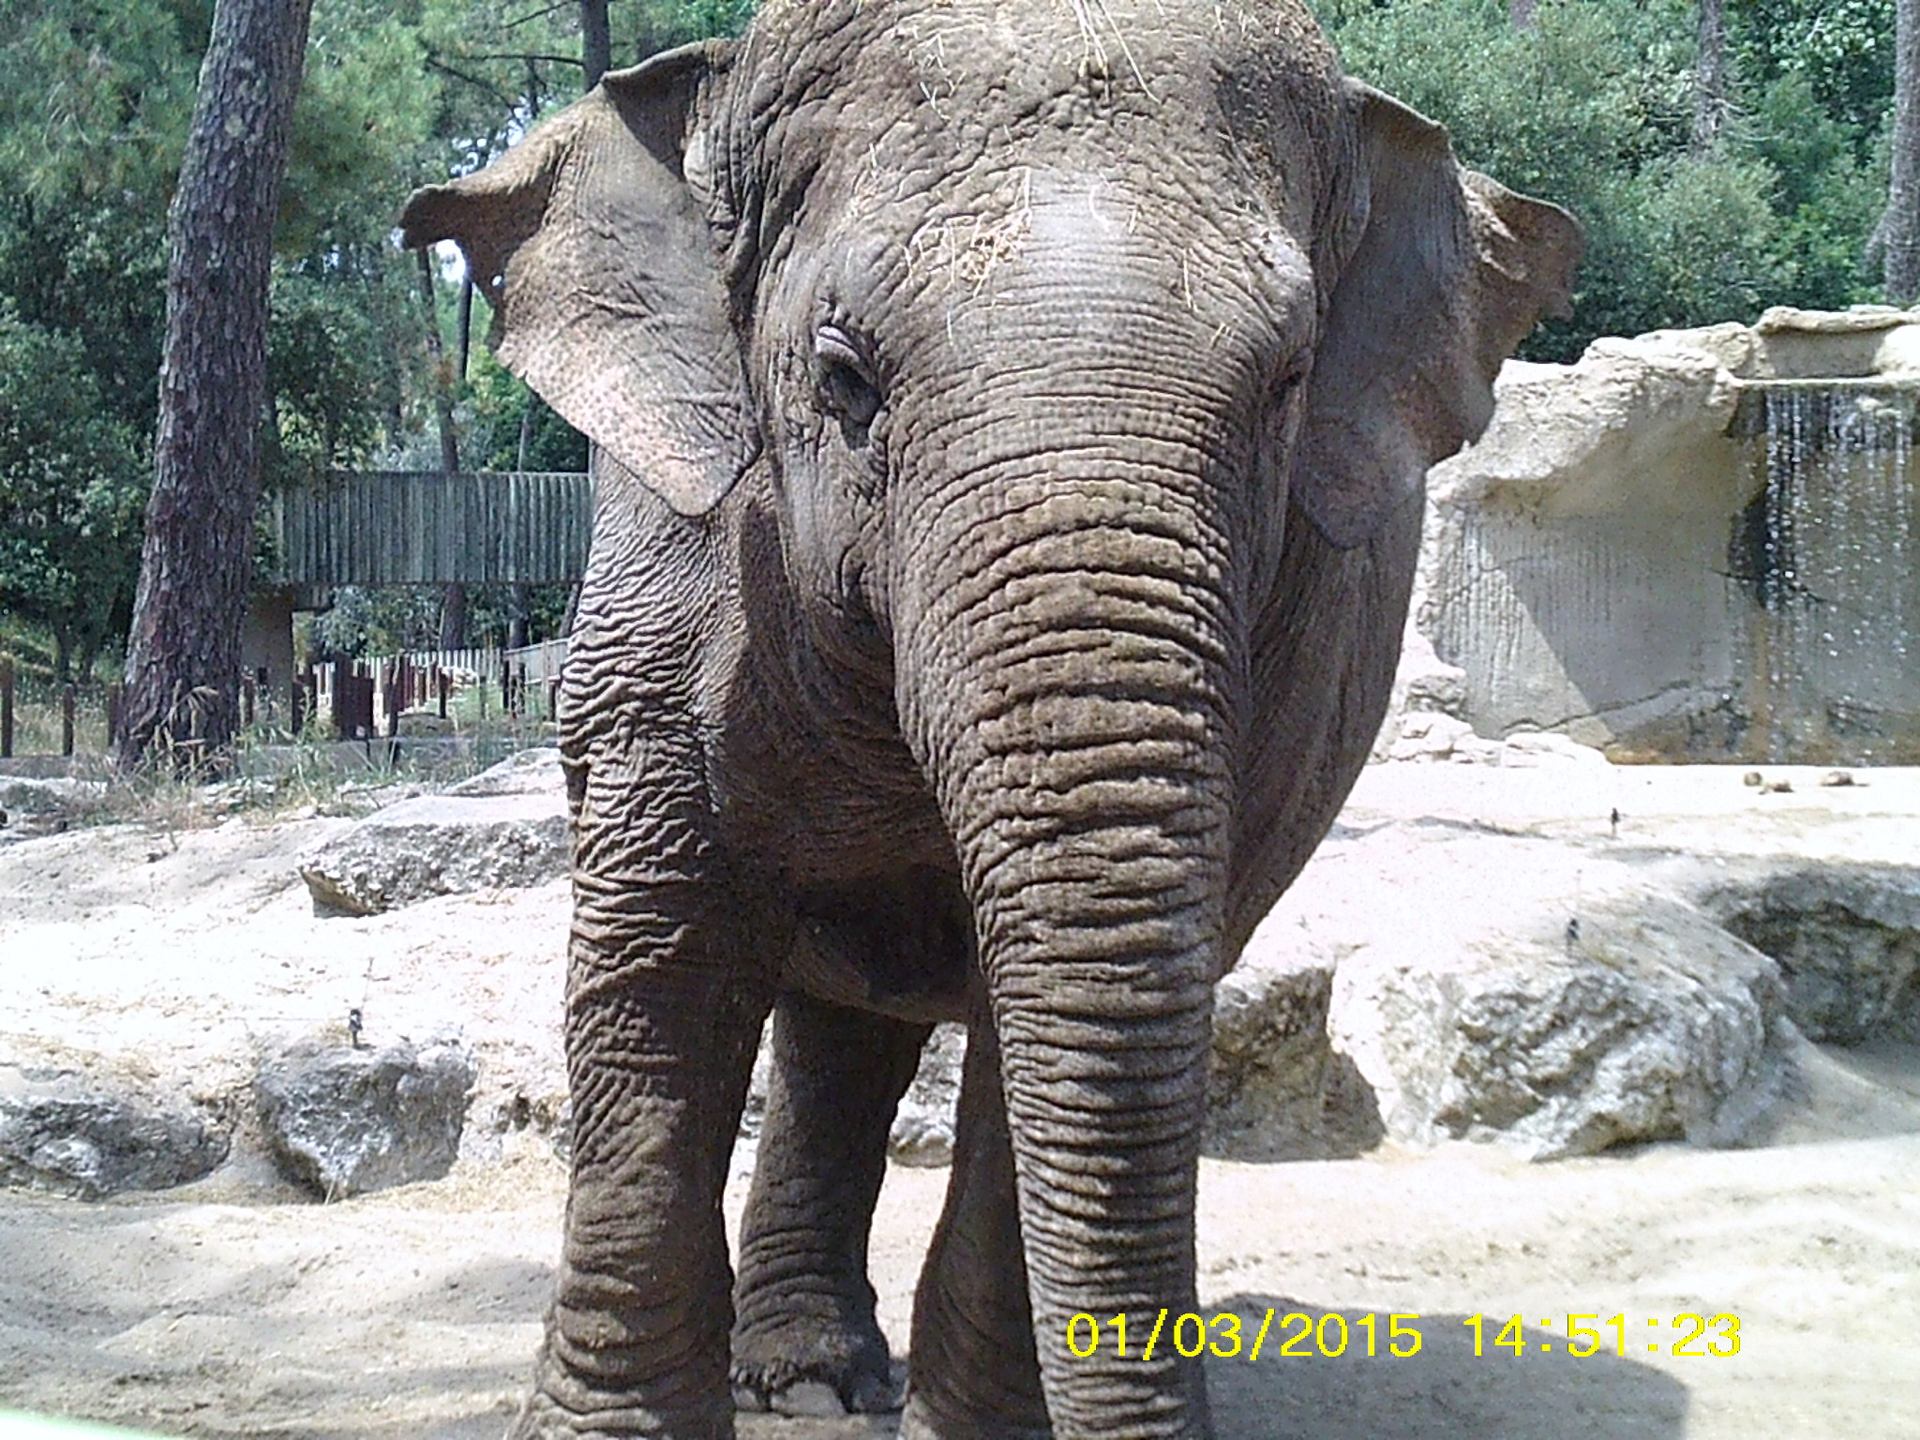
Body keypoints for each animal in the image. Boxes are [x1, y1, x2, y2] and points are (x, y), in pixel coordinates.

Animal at [401, 2, 1578, 1436]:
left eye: (1290, 380)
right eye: (842, 376)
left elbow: (1074, 1017)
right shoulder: (667, 560)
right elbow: (659, 964)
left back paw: (821, 1375)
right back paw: (807, 1381)